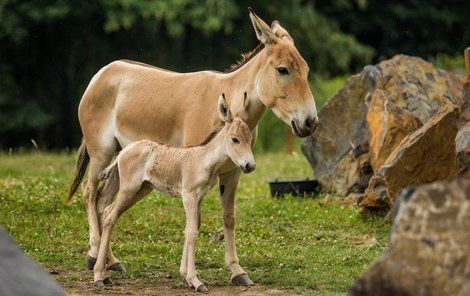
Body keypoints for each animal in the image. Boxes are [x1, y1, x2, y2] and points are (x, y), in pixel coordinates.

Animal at [92, 94, 253, 292]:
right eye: (235, 139)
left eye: (250, 139)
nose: (250, 166)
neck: (203, 160)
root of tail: (124, 151)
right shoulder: (189, 196)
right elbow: (192, 232)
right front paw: (195, 281)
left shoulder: (199, 198)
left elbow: (191, 228)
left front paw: (186, 277)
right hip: (129, 189)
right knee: (110, 216)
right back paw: (99, 276)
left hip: (141, 190)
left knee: (109, 212)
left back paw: (104, 275)